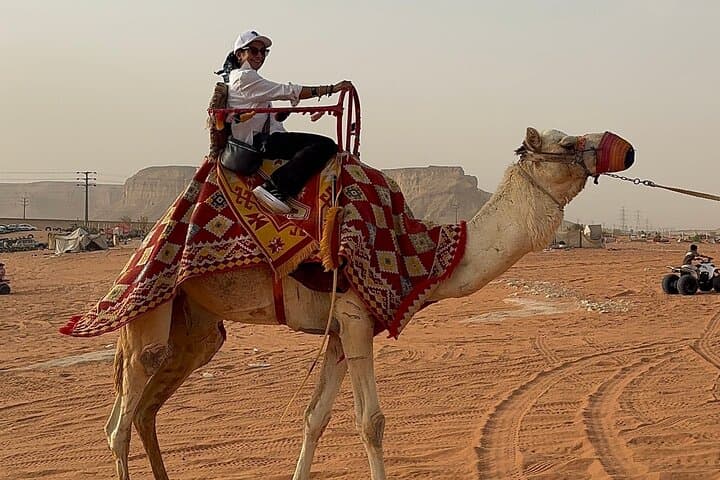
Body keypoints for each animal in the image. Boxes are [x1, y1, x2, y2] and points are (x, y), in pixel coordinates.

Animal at [104, 127, 634, 480]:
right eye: (567, 144)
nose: (626, 149)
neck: (424, 252)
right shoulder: (357, 317)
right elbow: (372, 422)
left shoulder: (339, 332)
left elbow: (314, 418)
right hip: (151, 311)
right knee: (120, 423)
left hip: (197, 329)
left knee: (147, 411)